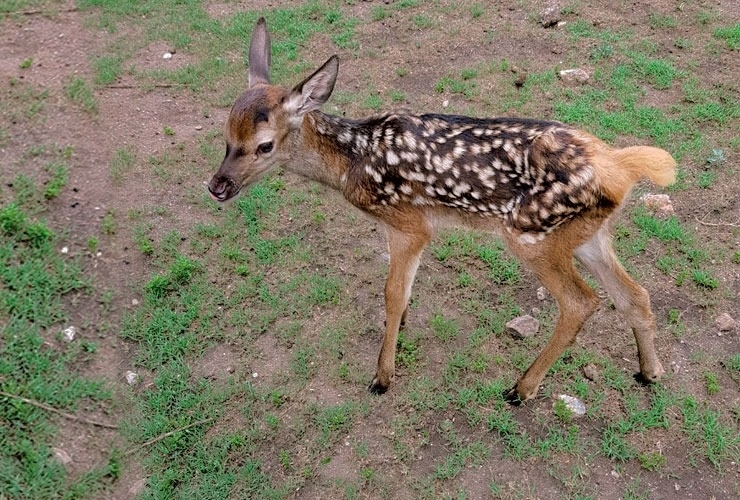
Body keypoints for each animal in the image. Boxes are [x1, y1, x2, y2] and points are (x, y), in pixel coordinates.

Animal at [207, 18, 677, 403]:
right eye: (225, 134)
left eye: (264, 145)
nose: (217, 186)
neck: (351, 163)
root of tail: (618, 165)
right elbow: (404, 292)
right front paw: (399, 334)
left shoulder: (408, 223)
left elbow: (393, 293)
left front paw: (383, 375)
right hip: (586, 234)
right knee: (635, 294)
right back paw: (649, 372)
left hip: (532, 235)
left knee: (582, 302)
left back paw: (521, 388)